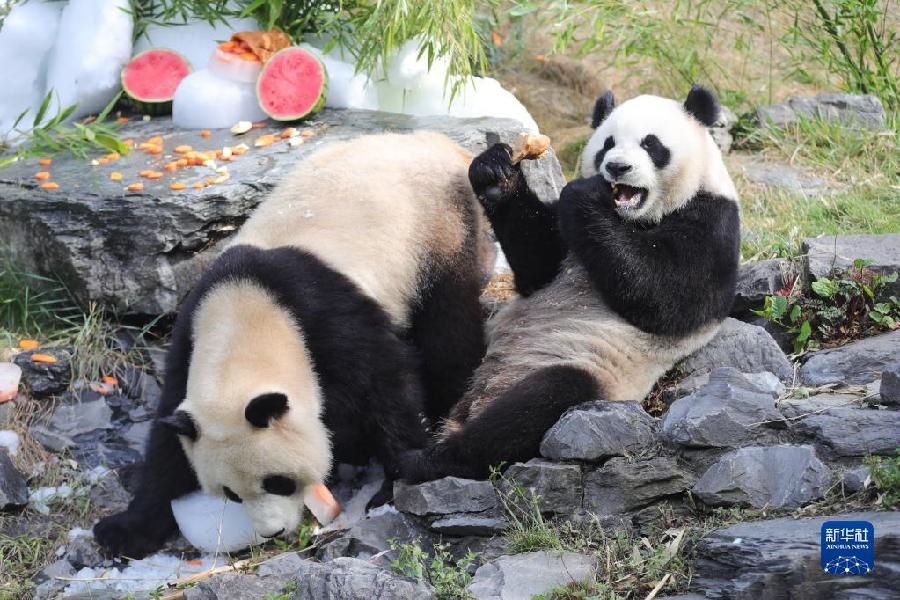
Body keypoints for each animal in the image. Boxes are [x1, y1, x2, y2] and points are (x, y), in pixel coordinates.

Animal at [95, 132, 488, 556]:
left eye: (278, 482)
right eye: (231, 494)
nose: (273, 532)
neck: (246, 316)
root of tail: (439, 141)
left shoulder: (326, 313)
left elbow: (387, 384)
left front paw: (396, 479)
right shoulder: (189, 339)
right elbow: (167, 446)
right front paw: (123, 530)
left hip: (439, 230)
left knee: (448, 326)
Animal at [400, 84, 740, 480]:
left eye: (651, 144)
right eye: (608, 143)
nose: (617, 167)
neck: (633, 218)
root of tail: (475, 402)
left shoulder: (713, 223)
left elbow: (667, 298)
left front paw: (585, 195)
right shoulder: (562, 246)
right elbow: (539, 267)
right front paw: (495, 174)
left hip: (586, 369)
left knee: (538, 403)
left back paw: (431, 457)